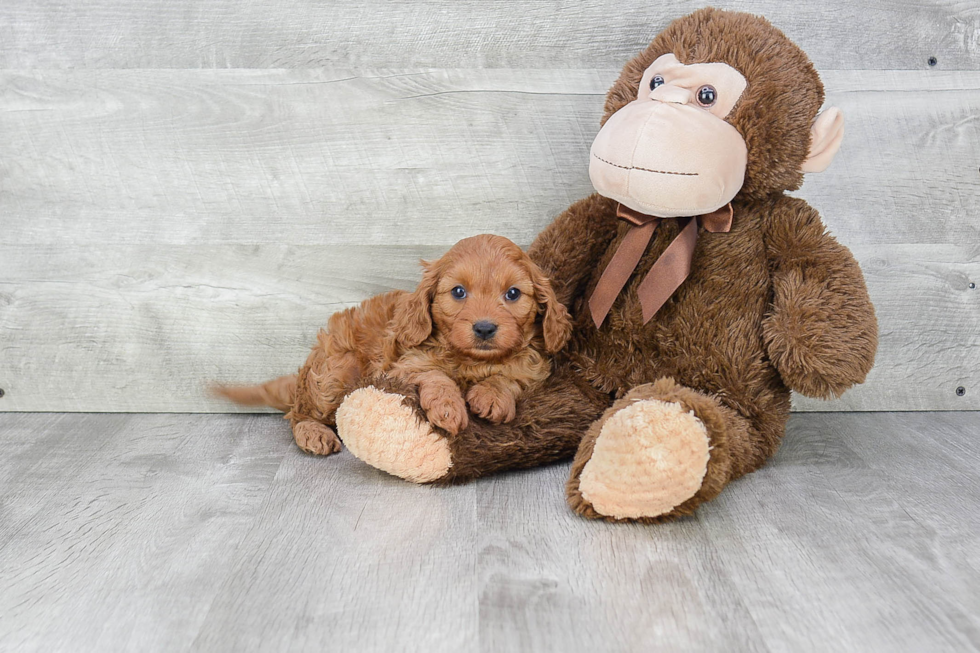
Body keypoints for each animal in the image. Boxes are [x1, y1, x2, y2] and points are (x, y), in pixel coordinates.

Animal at [212, 234, 568, 454]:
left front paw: (491, 395)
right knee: (298, 414)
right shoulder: (403, 365)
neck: (472, 361)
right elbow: (435, 375)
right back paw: (314, 433)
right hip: (335, 373)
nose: (484, 328)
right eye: (458, 292)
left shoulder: (533, 369)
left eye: (512, 294)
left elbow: (509, 377)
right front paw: (448, 407)